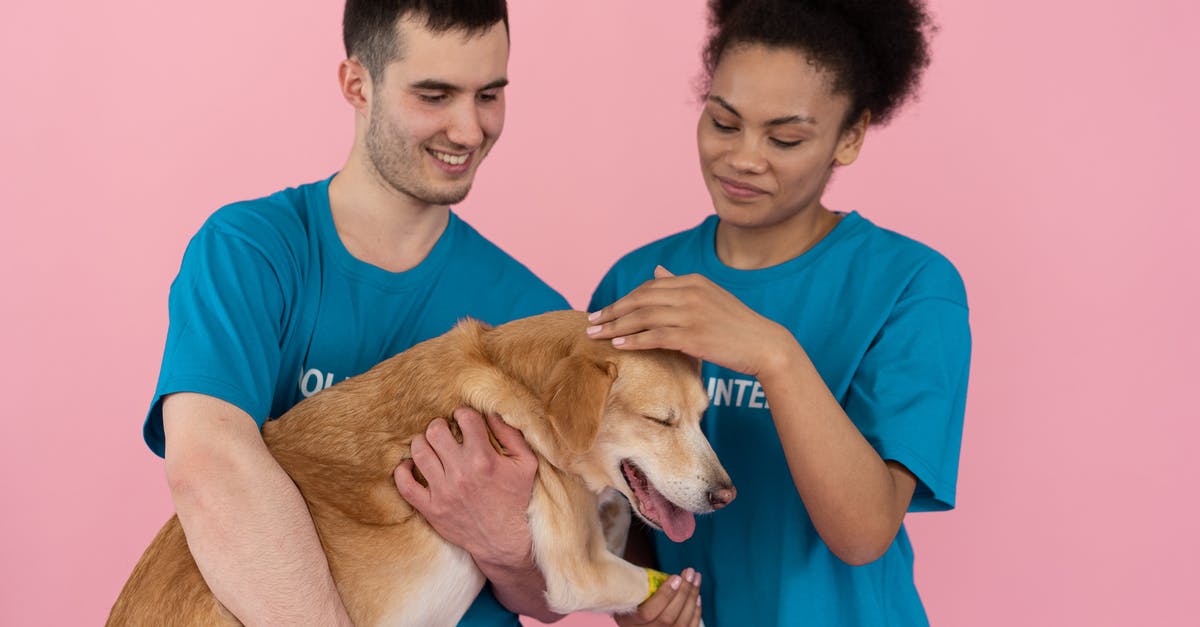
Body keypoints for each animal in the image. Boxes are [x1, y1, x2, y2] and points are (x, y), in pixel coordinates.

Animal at [110, 309, 729, 619]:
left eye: (703, 417)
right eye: (661, 420)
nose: (728, 495)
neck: (517, 380)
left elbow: (620, 513)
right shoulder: (580, 574)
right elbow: (644, 574)